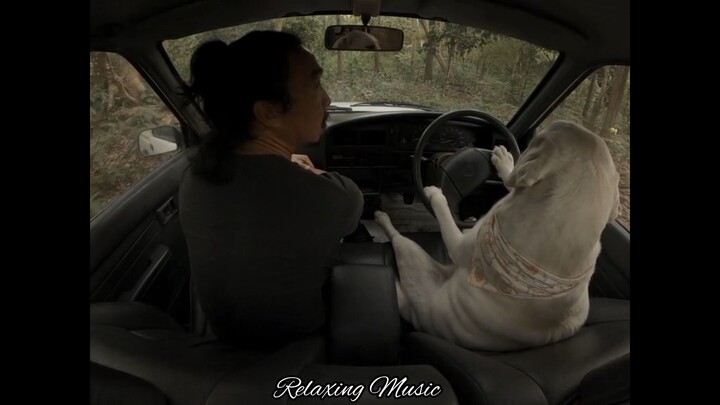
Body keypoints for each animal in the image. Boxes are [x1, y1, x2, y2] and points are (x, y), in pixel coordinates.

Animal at [376, 120, 620, 350]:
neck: (569, 215)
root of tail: (416, 316)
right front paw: (505, 161)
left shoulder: (457, 245)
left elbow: (444, 212)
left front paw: (436, 194)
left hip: (413, 255)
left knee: (398, 242)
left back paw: (382, 220)